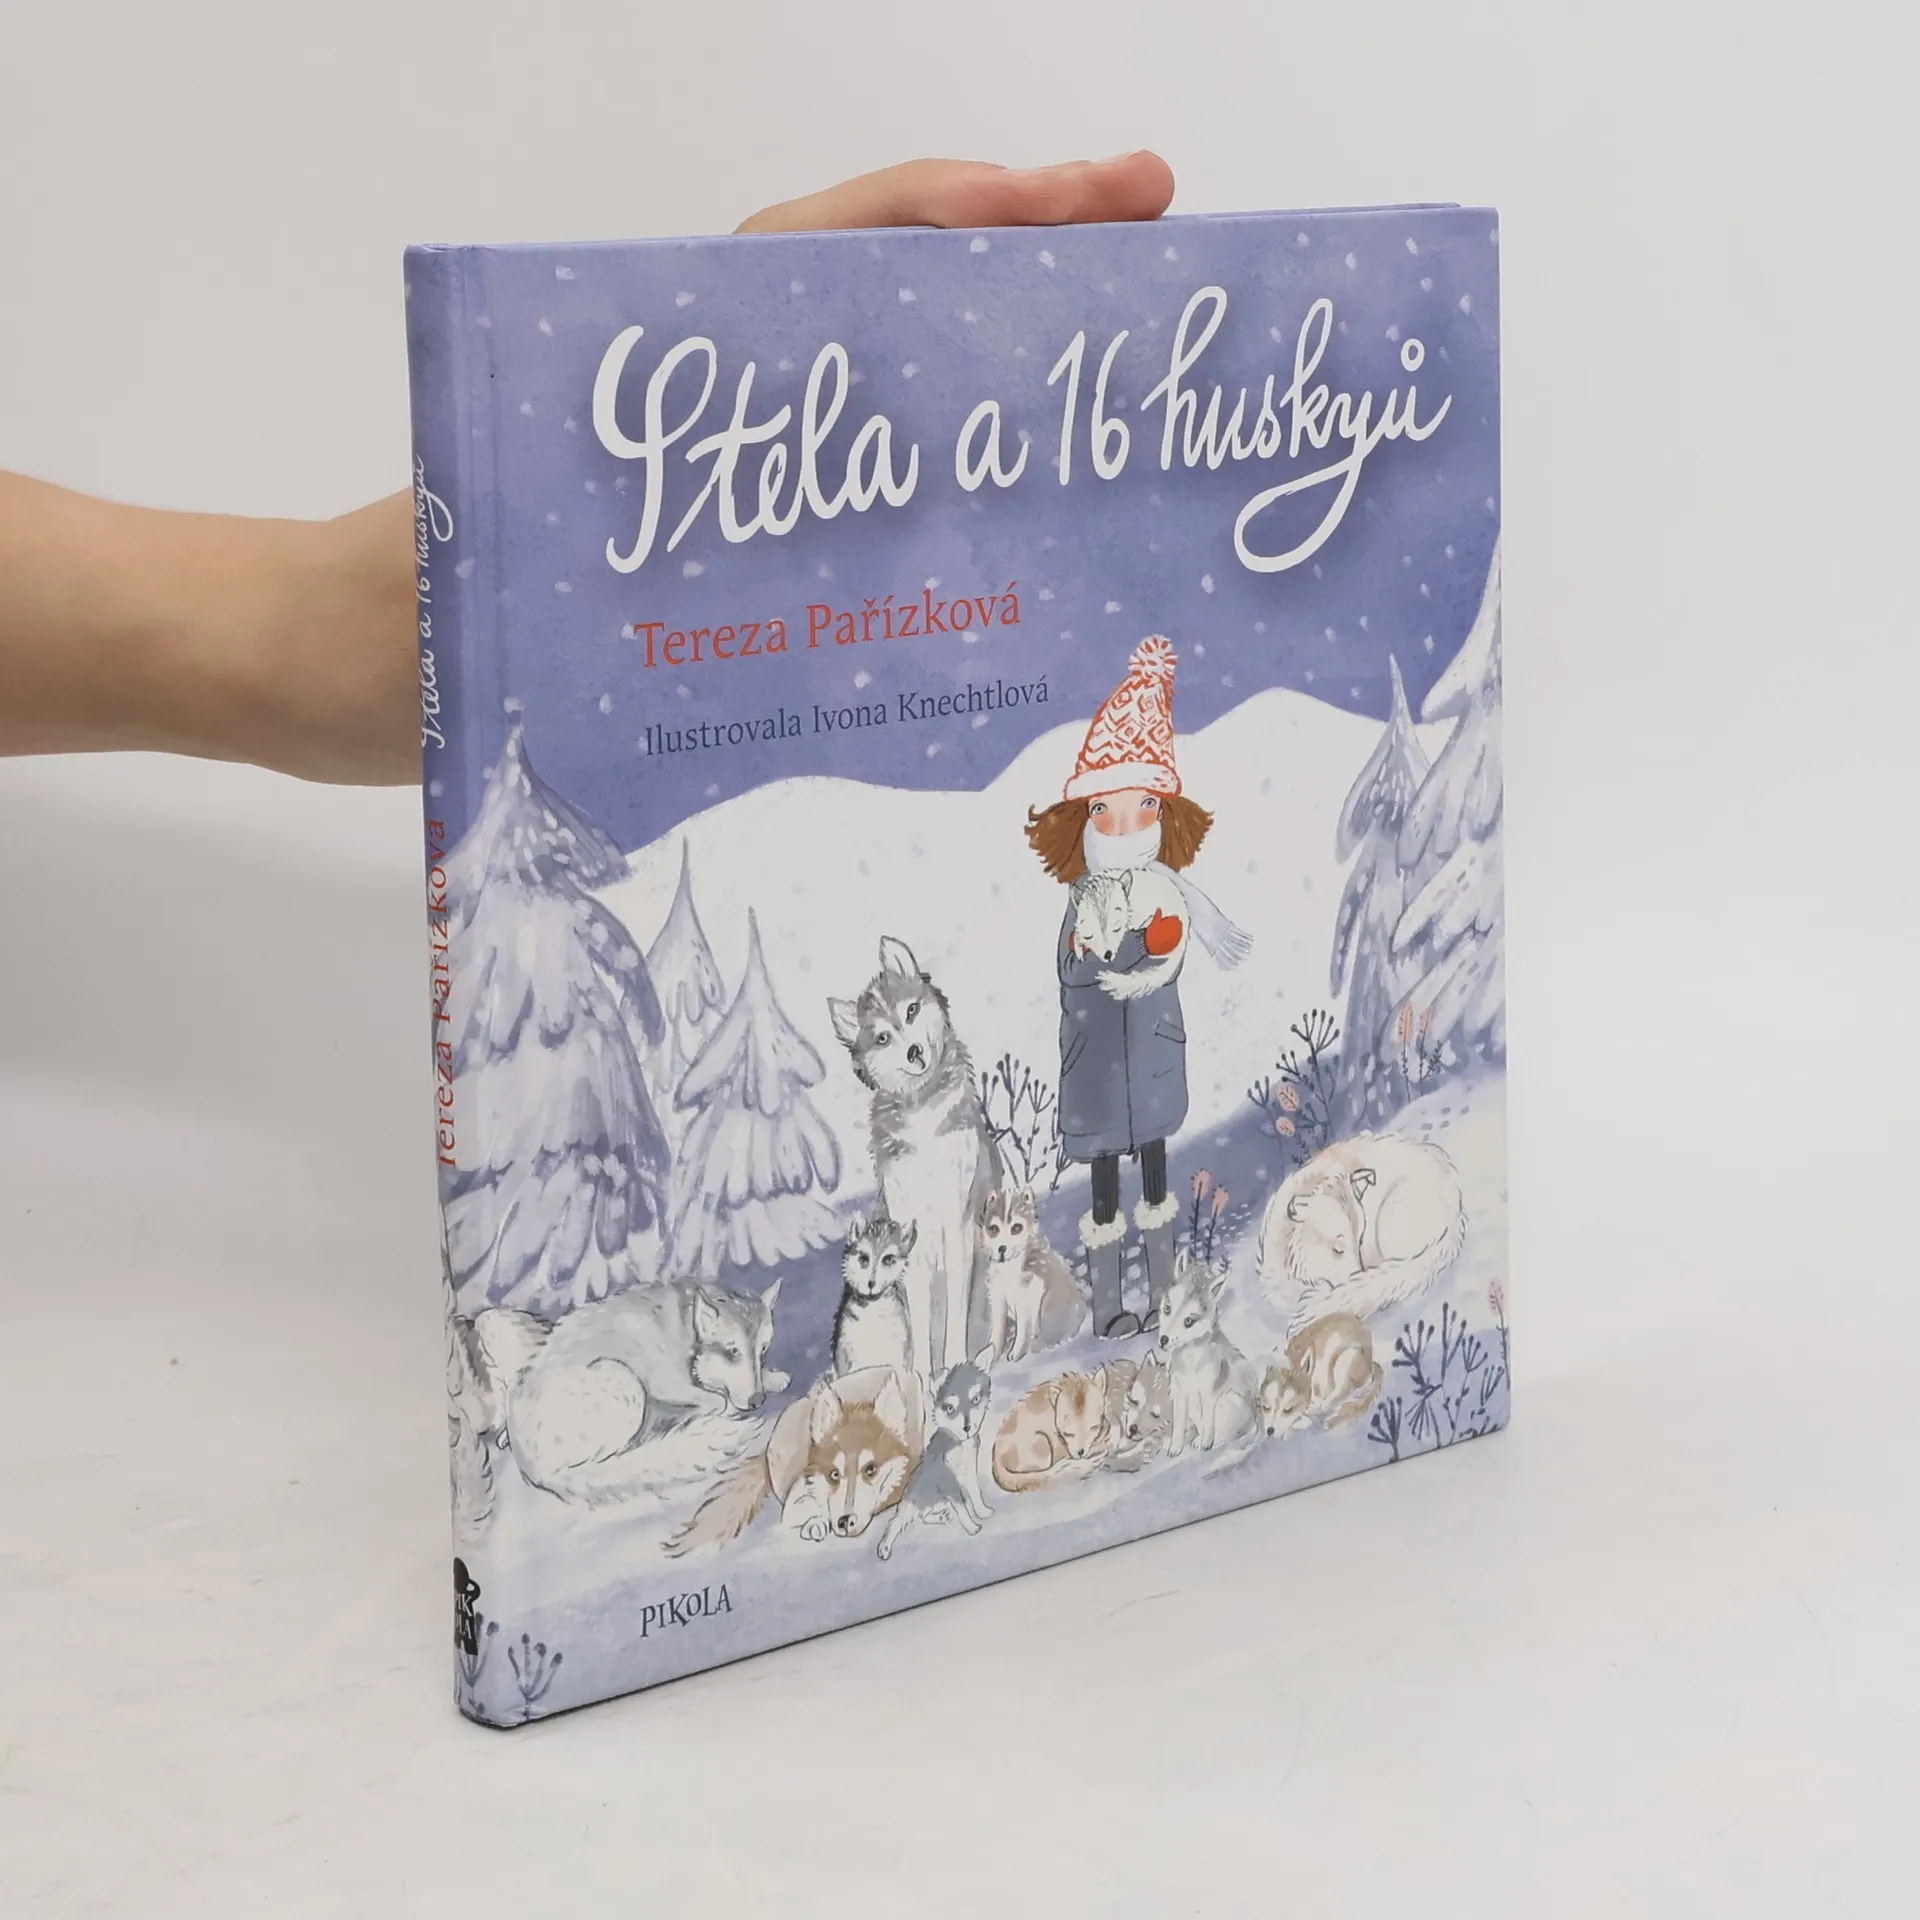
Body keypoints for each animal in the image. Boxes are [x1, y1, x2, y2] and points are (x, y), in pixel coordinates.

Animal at [467, 1277, 783, 1508]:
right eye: (732, 1352)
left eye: (763, 1351)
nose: (757, 1401)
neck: (684, 1329)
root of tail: (534, 1468)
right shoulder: (665, 1381)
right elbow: (718, 1401)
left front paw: (773, 1378)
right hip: (625, 1380)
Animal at [664, 1365, 925, 1555]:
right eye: (834, 1474)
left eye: (870, 1469)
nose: (844, 1522)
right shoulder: (797, 1496)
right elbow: (805, 1509)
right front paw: (817, 1521)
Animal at [876, 1346, 996, 1559]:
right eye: (950, 1408)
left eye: (975, 1399)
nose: (967, 1427)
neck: (959, 1445)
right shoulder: (947, 1480)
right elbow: (962, 1508)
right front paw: (972, 1527)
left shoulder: (968, 1475)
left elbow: (975, 1496)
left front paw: (983, 1512)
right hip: (911, 1507)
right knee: (896, 1524)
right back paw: (884, 1546)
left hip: (938, 1502)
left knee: (925, 1517)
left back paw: (940, 1517)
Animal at [980, 1186, 1087, 1361]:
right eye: (994, 1229)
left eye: (1016, 1228)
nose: (1001, 1248)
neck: (1009, 1267)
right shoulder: (997, 1299)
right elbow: (997, 1331)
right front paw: (989, 1355)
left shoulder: (1026, 1298)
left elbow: (1023, 1329)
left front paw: (1016, 1354)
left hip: (1052, 1303)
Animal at [1156, 1254, 1257, 1457]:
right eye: (1167, 1309)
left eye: (1189, 1321)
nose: (1163, 1340)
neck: (1190, 1359)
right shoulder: (1180, 1393)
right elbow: (1178, 1424)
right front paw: (1175, 1448)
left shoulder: (1208, 1394)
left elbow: (1208, 1424)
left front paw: (1205, 1445)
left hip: (1230, 1402)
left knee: (1227, 1433)